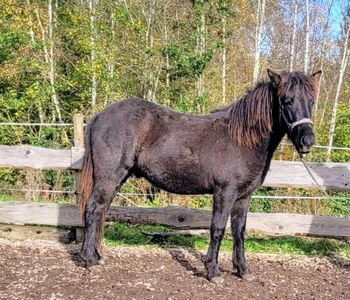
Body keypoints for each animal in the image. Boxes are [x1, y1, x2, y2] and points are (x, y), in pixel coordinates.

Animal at [80, 69, 322, 280]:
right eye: (287, 100)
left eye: (311, 101)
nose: (307, 141)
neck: (242, 139)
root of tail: (98, 116)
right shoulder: (224, 192)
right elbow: (218, 228)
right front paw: (213, 272)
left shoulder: (244, 196)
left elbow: (239, 231)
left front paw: (242, 270)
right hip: (109, 178)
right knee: (93, 208)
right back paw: (89, 259)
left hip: (117, 179)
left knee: (101, 210)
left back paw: (97, 256)